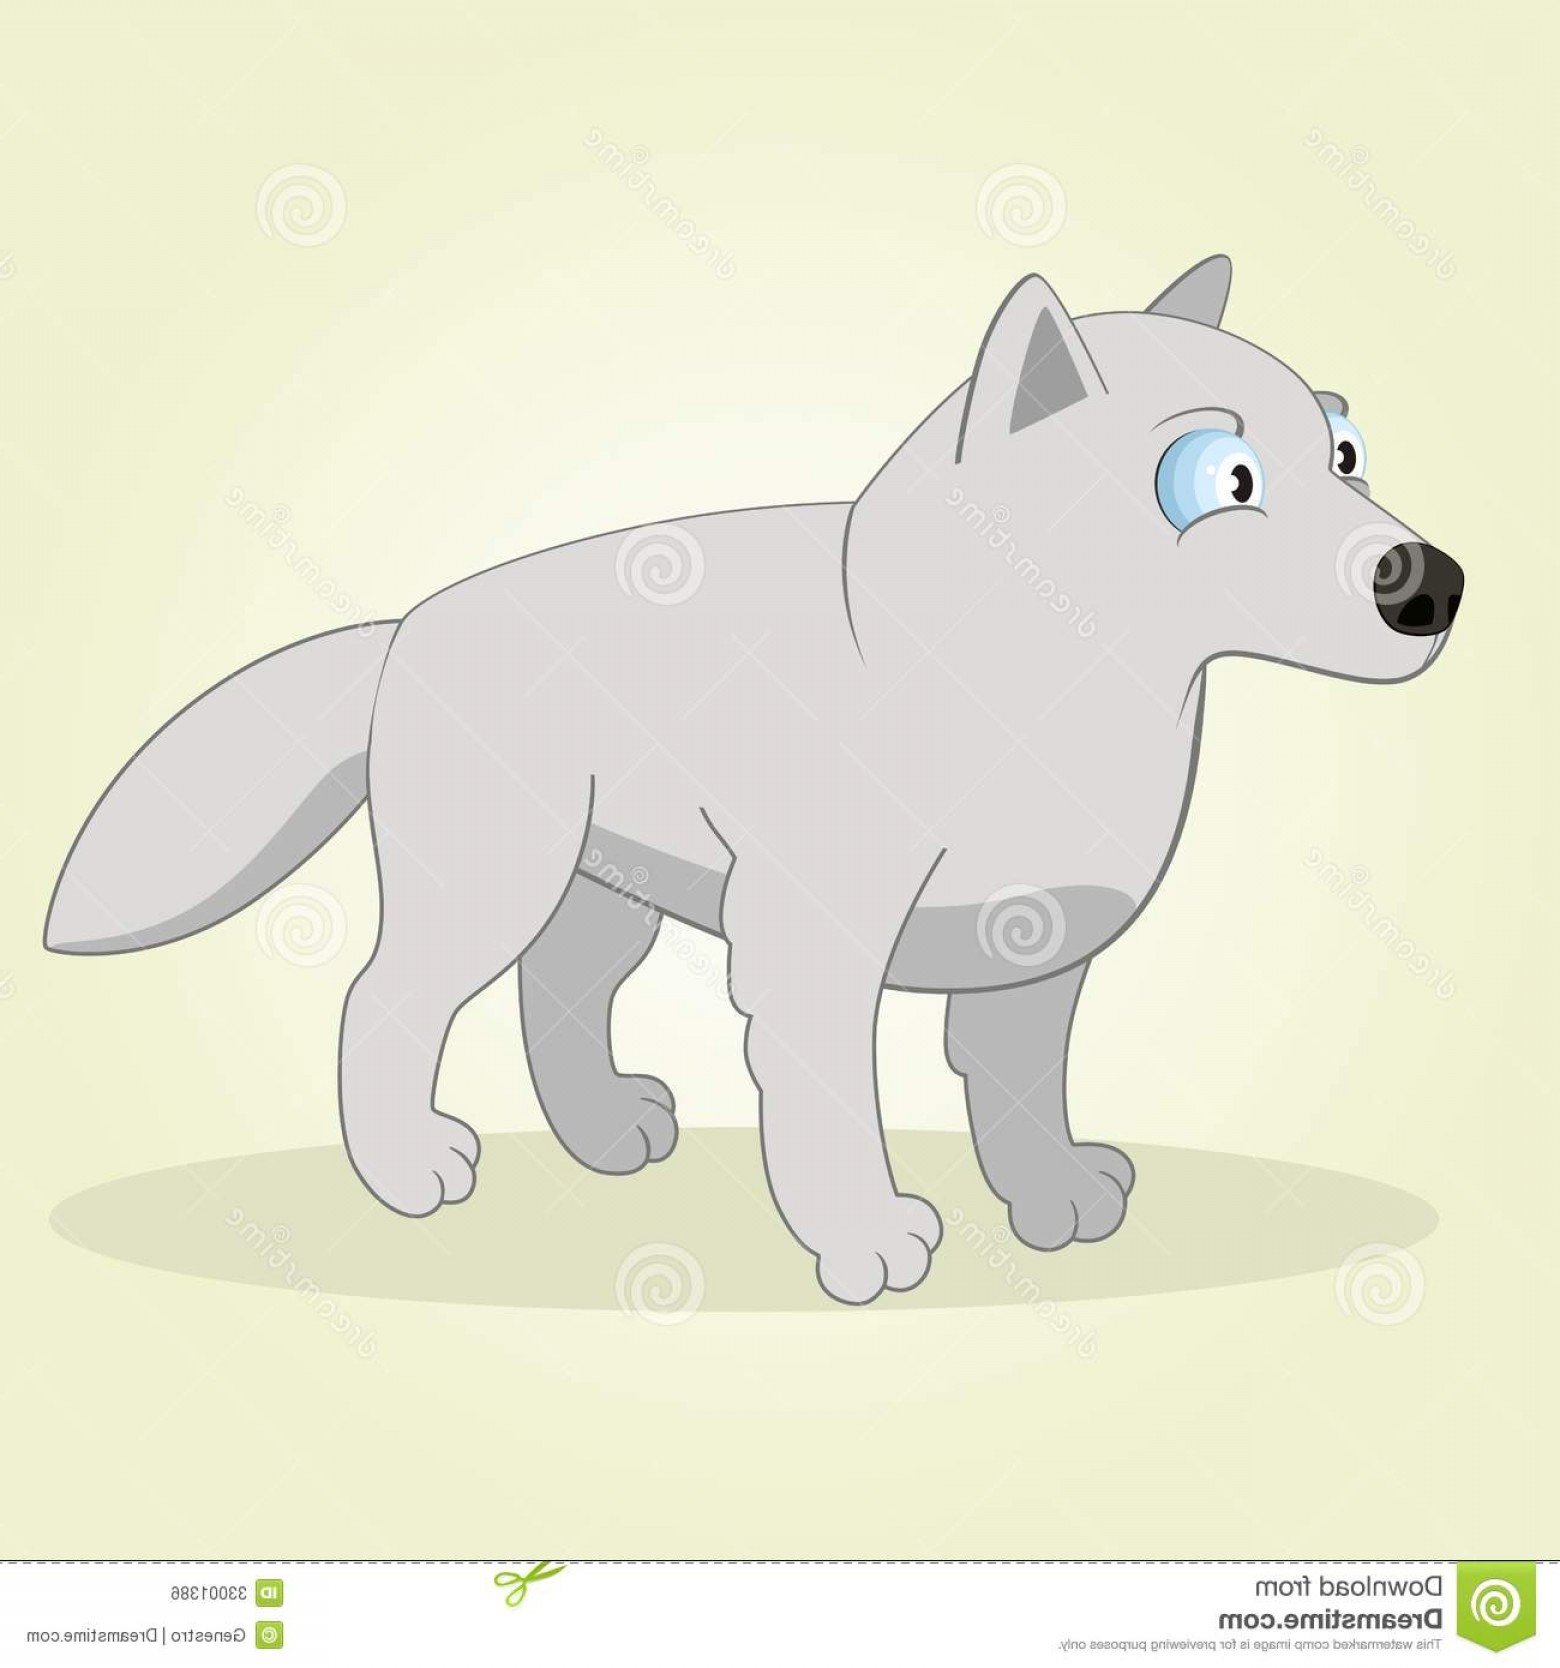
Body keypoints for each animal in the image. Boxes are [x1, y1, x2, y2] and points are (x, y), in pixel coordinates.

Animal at [46, 256, 1463, 1304]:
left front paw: (1051, 1194)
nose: (1428, 584)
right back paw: (405, 1170)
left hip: (603, 895)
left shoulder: (1038, 956)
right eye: (1218, 481)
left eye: (1347, 450)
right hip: (489, 885)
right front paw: (869, 1241)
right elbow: (831, 1110)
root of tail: (409, 629)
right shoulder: (812, 957)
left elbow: (1017, 1087)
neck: (1030, 690)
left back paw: (604, 1132)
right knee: (383, 1003)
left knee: (559, 999)